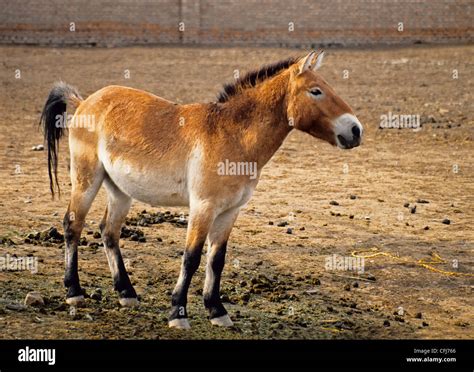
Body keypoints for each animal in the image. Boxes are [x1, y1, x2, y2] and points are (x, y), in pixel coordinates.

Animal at [40, 50, 362, 330]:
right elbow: (192, 257)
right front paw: (178, 314)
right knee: (72, 226)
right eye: (316, 91)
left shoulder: (229, 212)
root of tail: (84, 102)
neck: (232, 135)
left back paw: (126, 293)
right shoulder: (203, 207)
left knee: (109, 232)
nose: (356, 130)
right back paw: (74, 292)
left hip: (120, 191)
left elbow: (216, 260)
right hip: (86, 181)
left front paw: (217, 311)